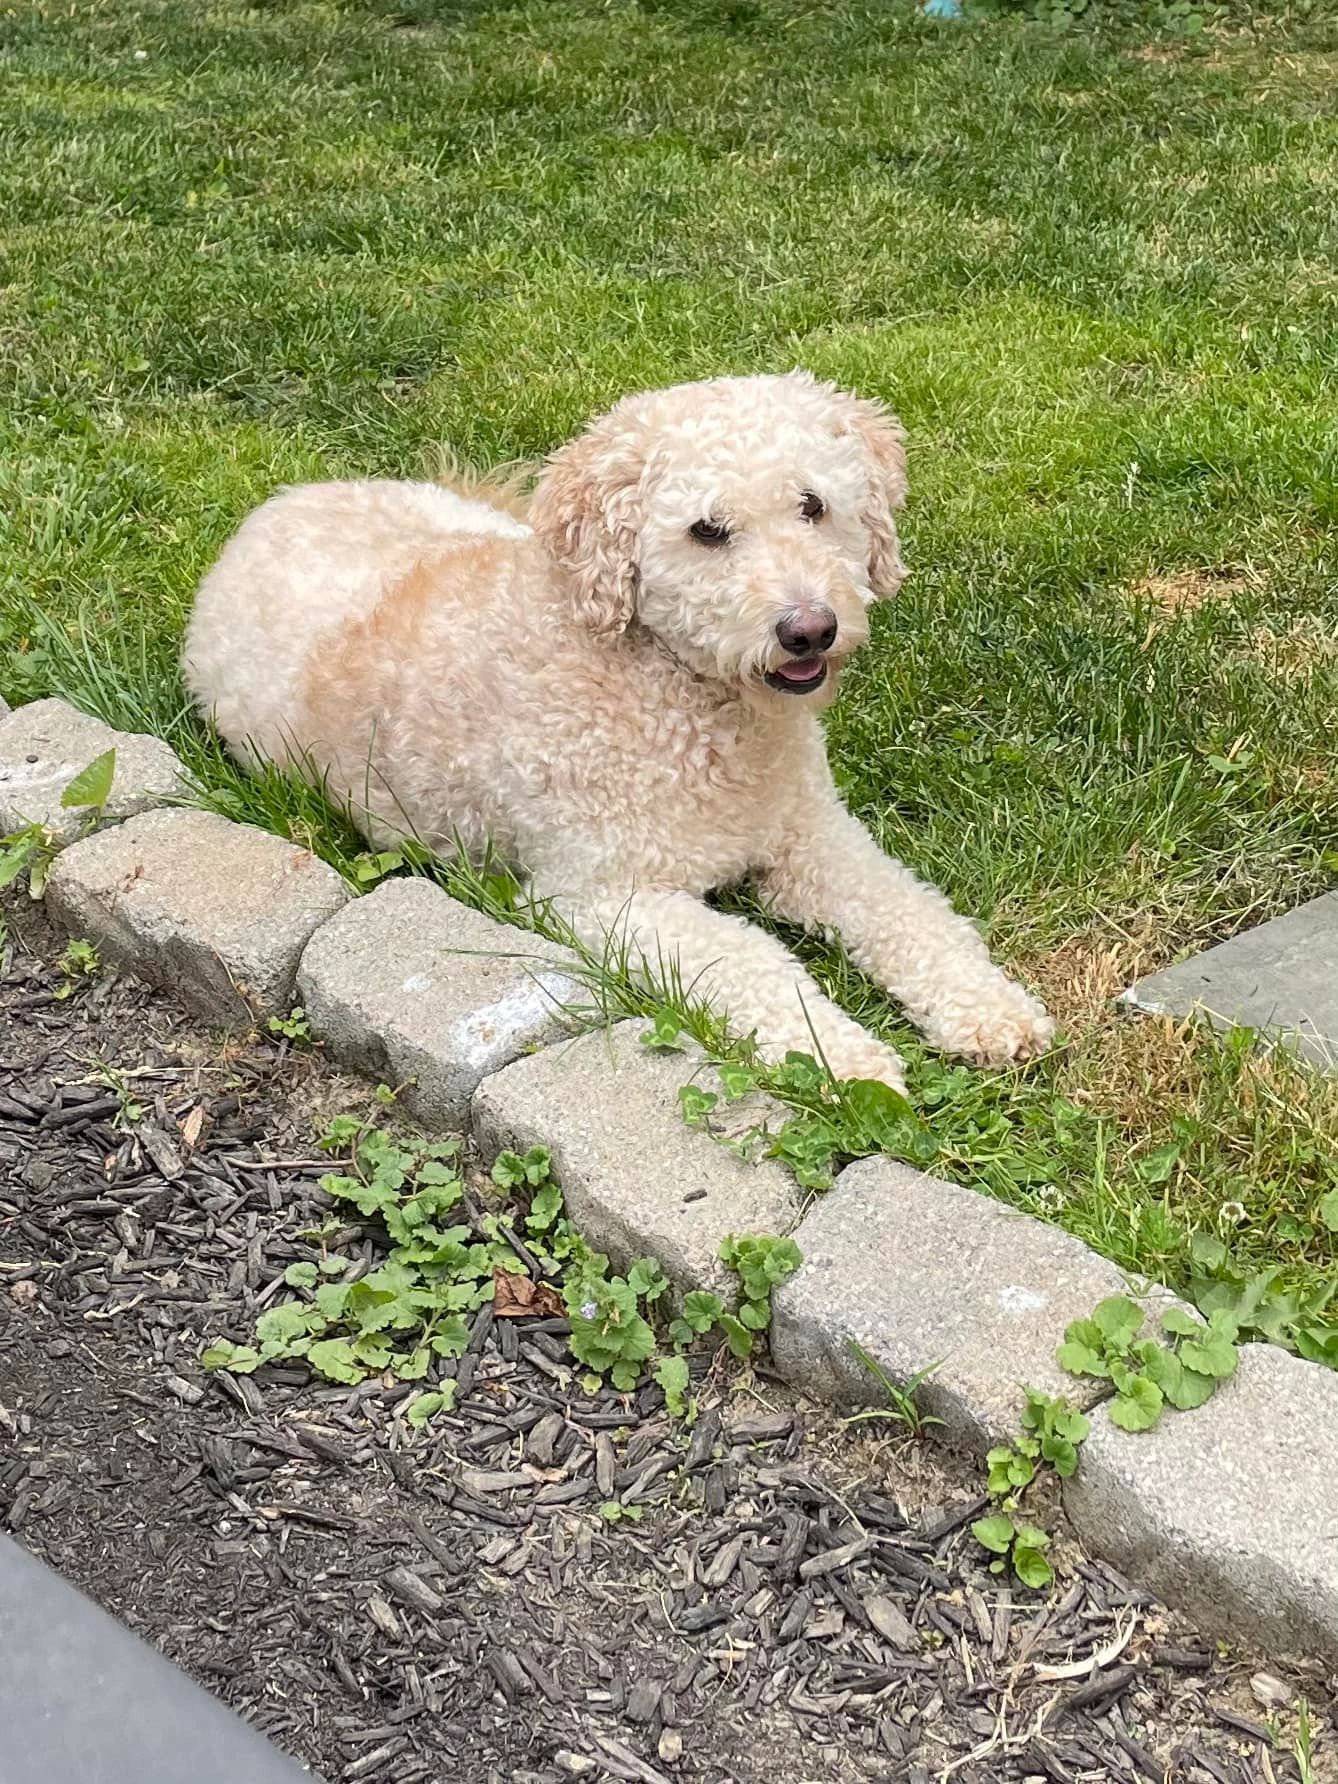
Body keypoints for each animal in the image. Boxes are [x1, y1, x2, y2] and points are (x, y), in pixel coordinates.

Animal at [183, 372, 1056, 1084]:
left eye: (813, 506)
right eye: (707, 530)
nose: (809, 629)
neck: (687, 699)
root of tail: (275, 505)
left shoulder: (811, 834)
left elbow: (909, 909)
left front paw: (990, 1009)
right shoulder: (605, 900)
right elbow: (755, 959)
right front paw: (843, 1061)